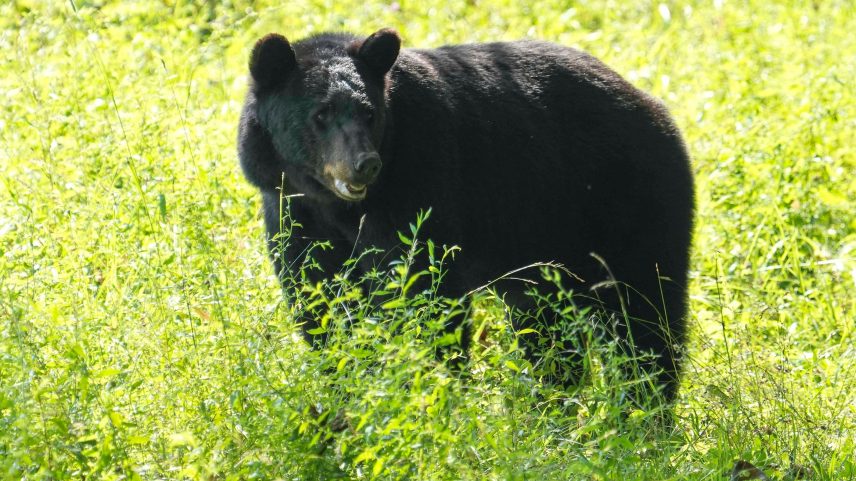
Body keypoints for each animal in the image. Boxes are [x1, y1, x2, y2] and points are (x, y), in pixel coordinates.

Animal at [238, 28, 694, 402]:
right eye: (320, 115)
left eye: (368, 112)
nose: (364, 164)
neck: (336, 205)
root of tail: (655, 107)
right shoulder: (292, 209)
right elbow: (320, 297)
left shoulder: (421, 181)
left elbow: (424, 289)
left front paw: (429, 390)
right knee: (548, 329)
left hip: (629, 199)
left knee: (645, 313)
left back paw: (646, 412)